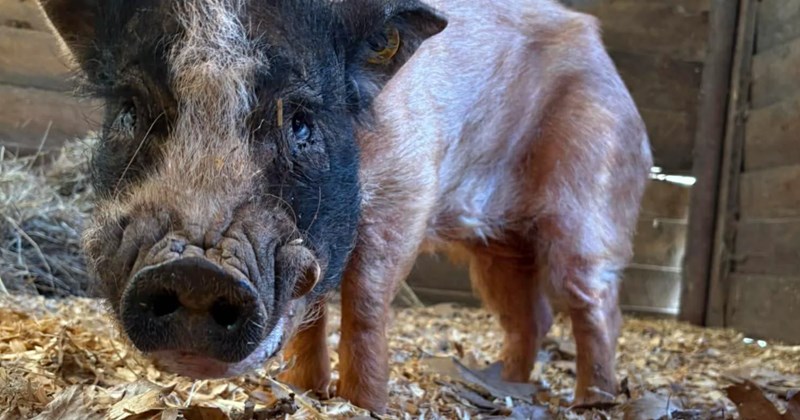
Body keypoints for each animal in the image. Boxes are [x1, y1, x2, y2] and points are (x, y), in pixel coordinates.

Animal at [37, 0, 652, 413]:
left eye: (302, 122)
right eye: (128, 111)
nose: (195, 271)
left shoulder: (408, 188)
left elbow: (366, 302)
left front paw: (364, 404)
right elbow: (311, 315)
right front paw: (305, 389)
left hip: (590, 189)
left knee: (592, 302)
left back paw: (592, 402)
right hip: (496, 246)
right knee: (530, 314)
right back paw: (503, 382)